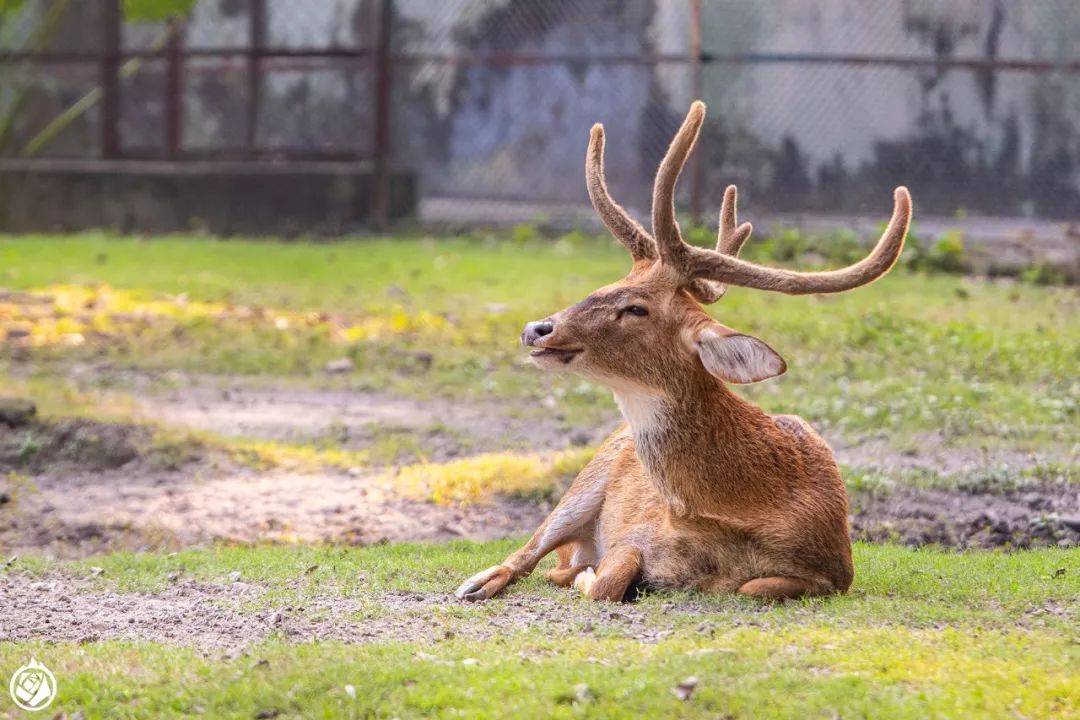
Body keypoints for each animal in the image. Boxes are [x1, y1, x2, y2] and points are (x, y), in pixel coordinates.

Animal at [455, 101, 911, 604]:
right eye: (607, 284)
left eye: (636, 308)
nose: (536, 328)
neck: (747, 512)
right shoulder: (636, 533)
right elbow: (606, 580)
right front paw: (590, 576)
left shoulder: (835, 572)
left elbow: (754, 586)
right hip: (586, 479)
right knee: (530, 553)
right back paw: (480, 583)